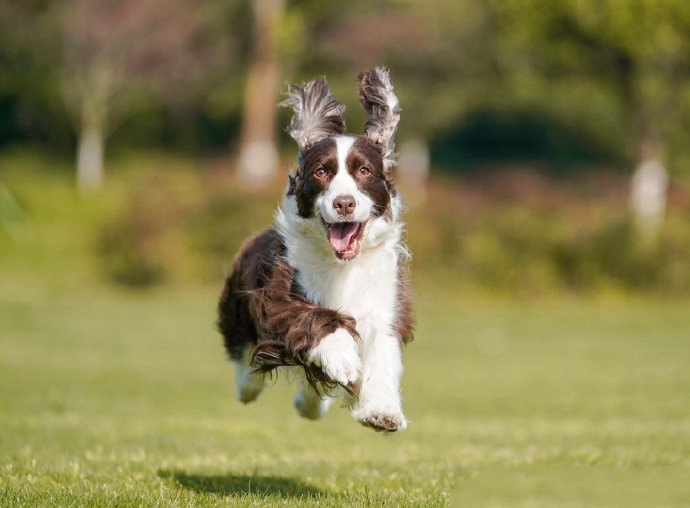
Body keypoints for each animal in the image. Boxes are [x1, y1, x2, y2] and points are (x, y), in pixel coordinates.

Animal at [218, 66, 412, 432]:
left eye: (364, 170)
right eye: (322, 171)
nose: (344, 203)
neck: (342, 266)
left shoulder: (382, 301)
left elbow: (382, 350)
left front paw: (381, 410)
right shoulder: (281, 292)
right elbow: (315, 316)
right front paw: (343, 360)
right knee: (245, 361)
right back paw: (248, 385)